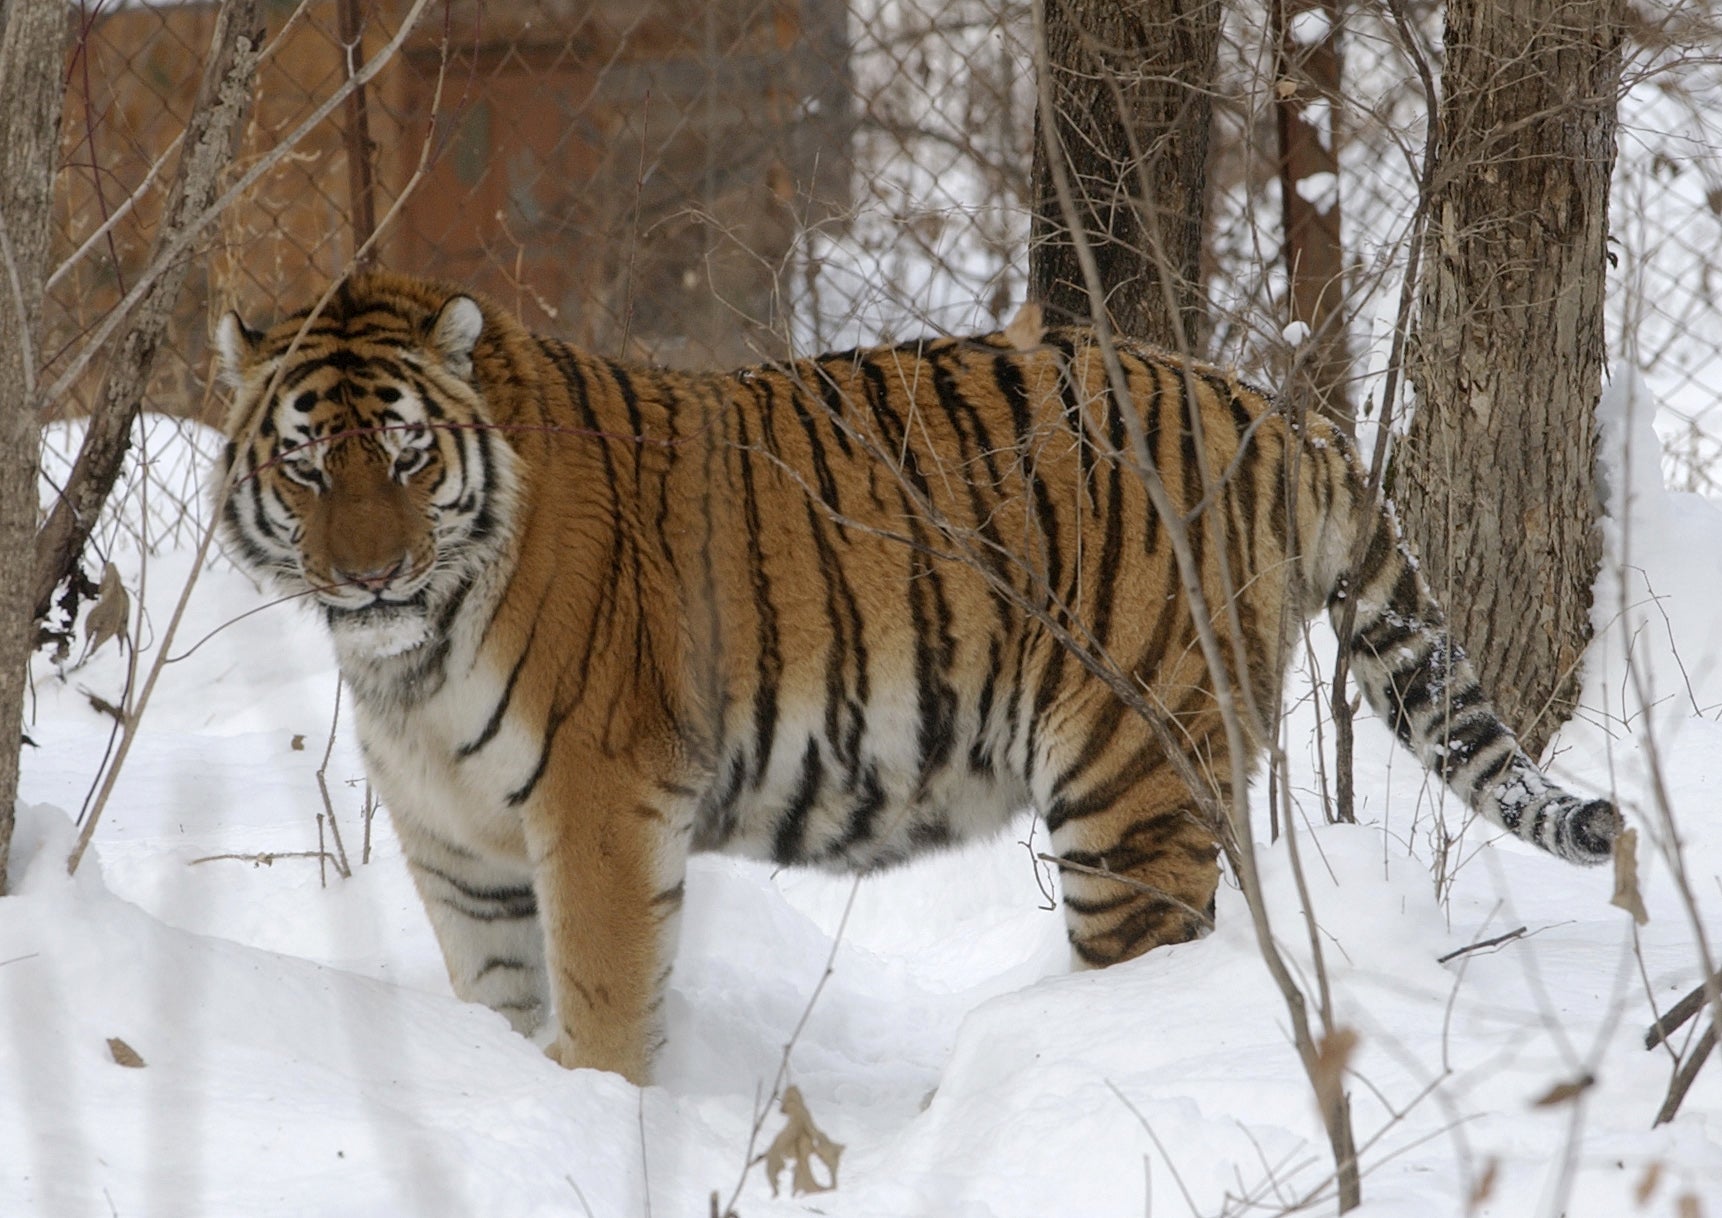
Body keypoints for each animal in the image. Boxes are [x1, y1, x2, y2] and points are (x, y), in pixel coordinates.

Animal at [208, 273, 1618, 1088]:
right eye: (306, 467)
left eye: (403, 455)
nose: (370, 577)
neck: (411, 659)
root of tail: (1276, 410)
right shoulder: (458, 846)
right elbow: (495, 1001)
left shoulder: (599, 808)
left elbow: (603, 1005)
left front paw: (601, 1116)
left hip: (1133, 784)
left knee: (1157, 955)